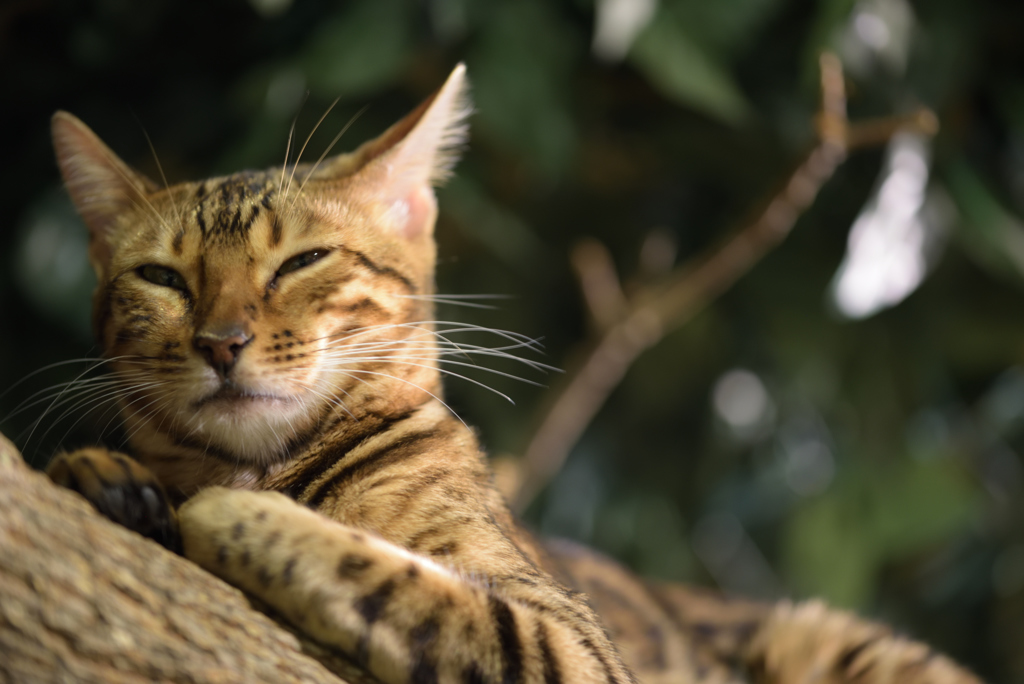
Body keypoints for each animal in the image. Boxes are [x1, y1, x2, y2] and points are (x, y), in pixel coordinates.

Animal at [46, 63, 983, 684]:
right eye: (162, 278)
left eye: (302, 261)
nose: (222, 341)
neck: (263, 464)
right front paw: (102, 475)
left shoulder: (571, 640)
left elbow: (408, 584)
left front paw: (224, 511)